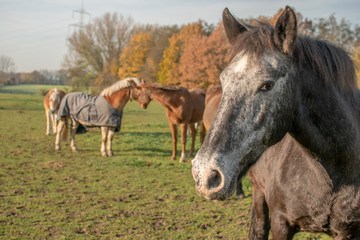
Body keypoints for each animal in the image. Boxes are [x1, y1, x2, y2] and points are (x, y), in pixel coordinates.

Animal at [193, 6, 360, 240]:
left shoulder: (348, 231)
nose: (204, 174)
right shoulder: (281, 223)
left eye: (267, 85)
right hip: (258, 194)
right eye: (223, 81)